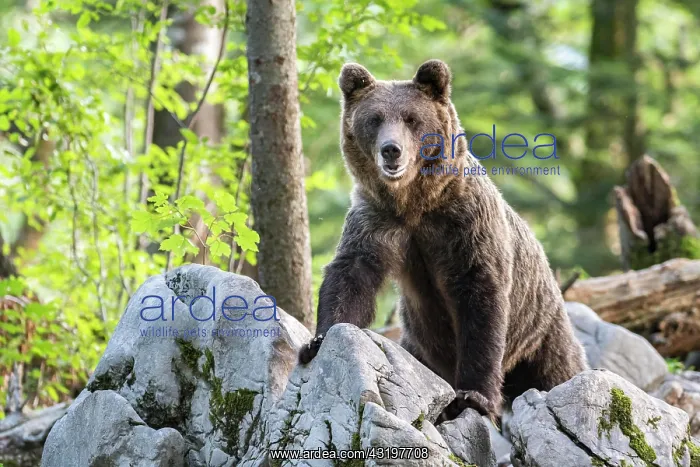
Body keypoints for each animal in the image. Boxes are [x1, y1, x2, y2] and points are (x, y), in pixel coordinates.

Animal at [298, 59, 588, 422]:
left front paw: (474, 395)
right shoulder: (377, 223)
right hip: (416, 343)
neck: (415, 203)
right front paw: (317, 341)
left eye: (411, 118)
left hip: (542, 332)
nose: (391, 150)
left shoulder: (465, 226)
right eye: (374, 119)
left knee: (558, 371)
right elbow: (351, 276)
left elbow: (481, 302)